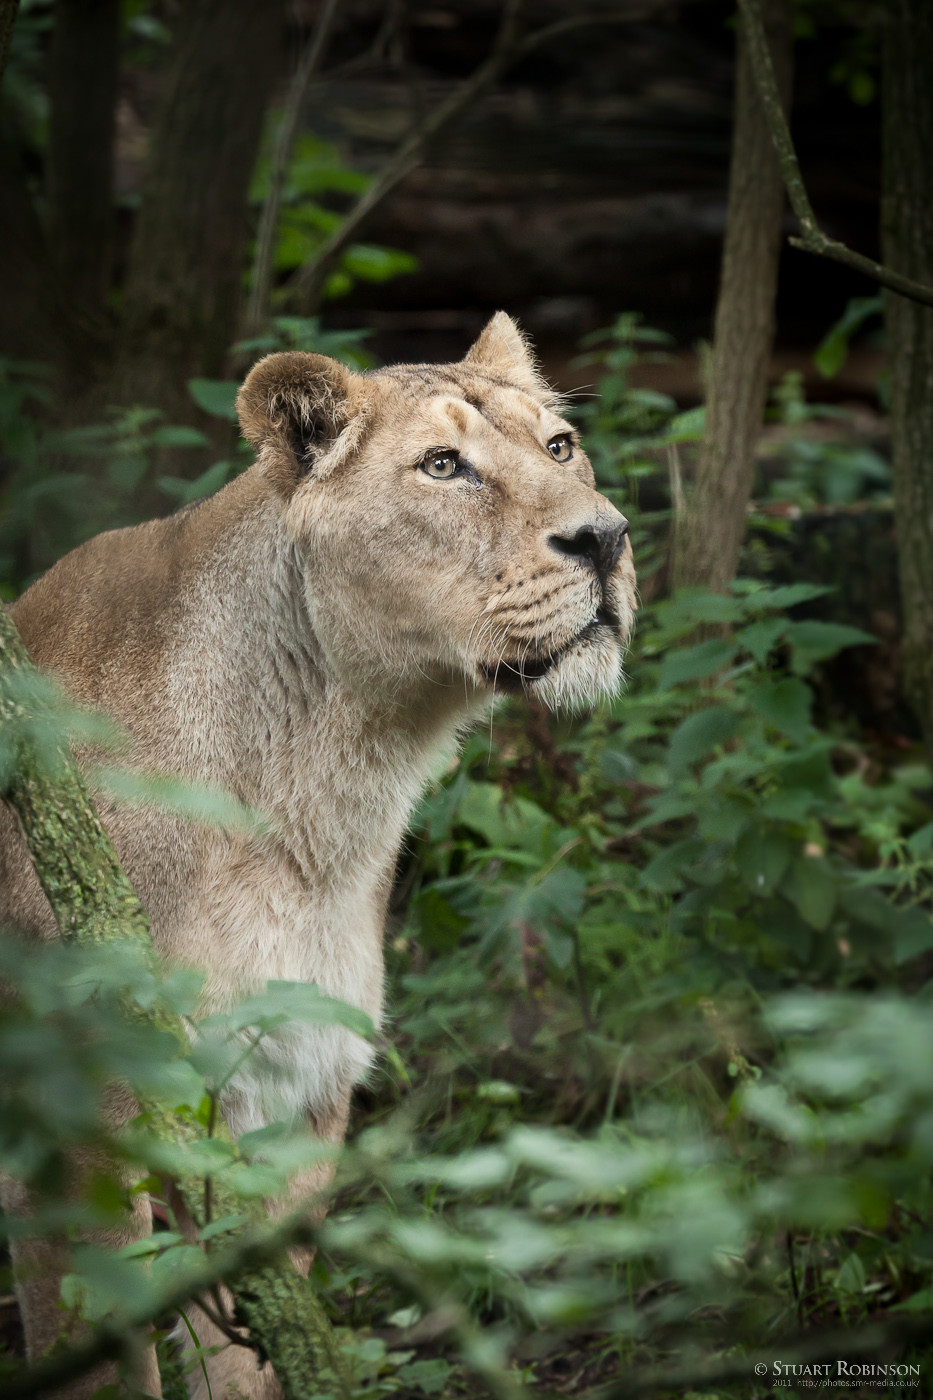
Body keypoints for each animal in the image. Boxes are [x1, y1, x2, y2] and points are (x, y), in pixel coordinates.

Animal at [0, 313, 635, 1398]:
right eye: (443, 465)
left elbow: (253, 1347)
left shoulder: (296, 1089)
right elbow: (102, 1348)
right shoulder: (72, 1117)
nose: (606, 537)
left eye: (559, 447)